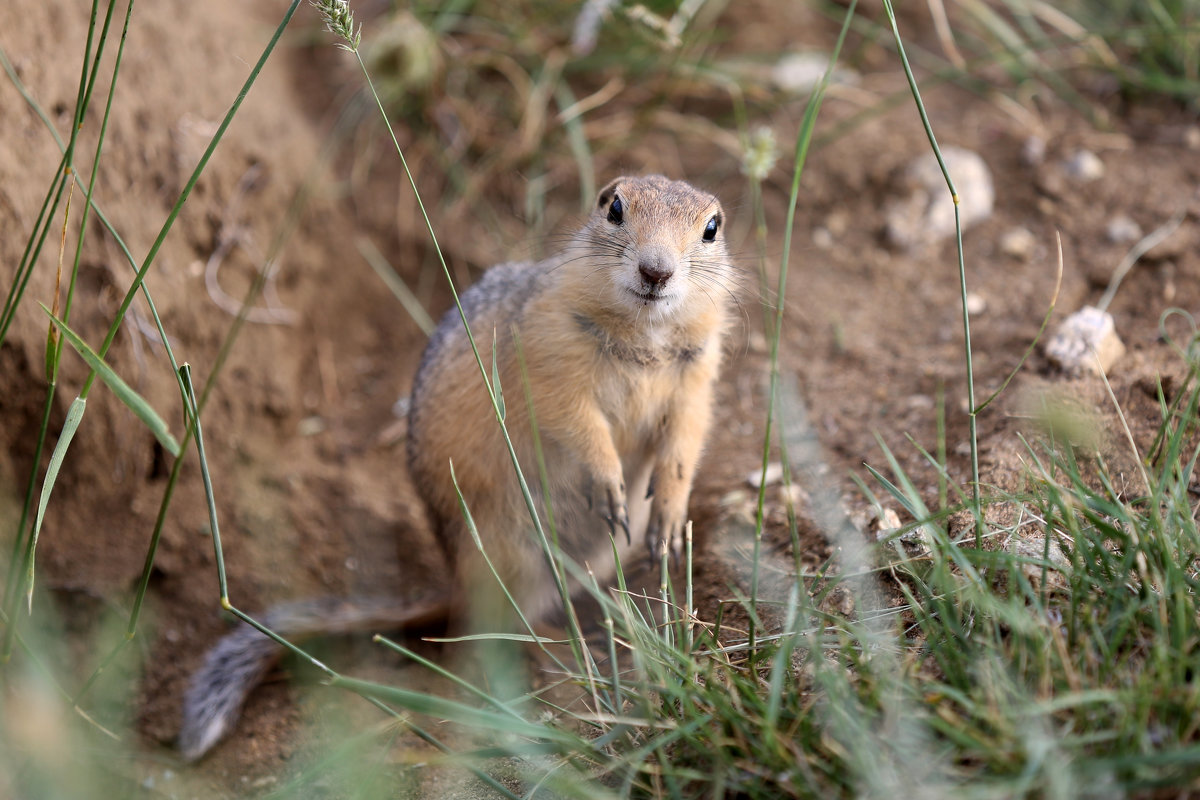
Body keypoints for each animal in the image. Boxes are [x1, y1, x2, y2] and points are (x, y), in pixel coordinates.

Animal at [177, 175, 734, 762]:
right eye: (615, 207)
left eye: (711, 228)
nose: (656, 271)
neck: (643, 334)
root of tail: (454, 579)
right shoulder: (551, 359)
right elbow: (578, 423)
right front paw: (609, 484)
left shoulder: (698, 375)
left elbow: (685, 439)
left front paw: (669, 519)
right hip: (510, 546)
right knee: (498, 627)